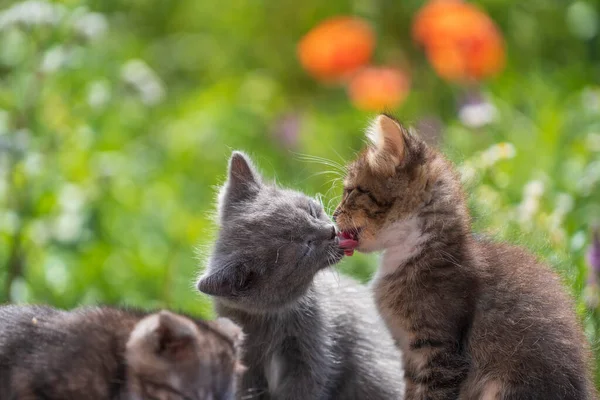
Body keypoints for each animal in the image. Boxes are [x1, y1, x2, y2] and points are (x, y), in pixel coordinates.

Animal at [197, 152, 404, 400]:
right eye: (306, 247)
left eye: (311, 211)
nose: (331, 231)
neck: (273, 321)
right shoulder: (246, 366)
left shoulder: (314, 351)